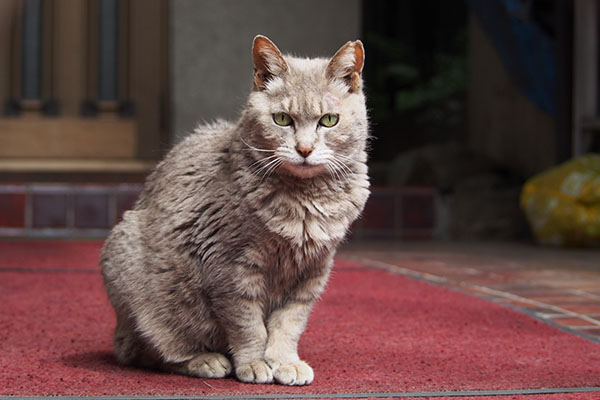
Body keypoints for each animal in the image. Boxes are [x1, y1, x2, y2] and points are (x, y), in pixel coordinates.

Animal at [99, 36, 370, 386]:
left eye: (329, 120)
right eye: (282, 119)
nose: (305, 149)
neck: (303, 200)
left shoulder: (312, 274)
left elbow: (289, 325)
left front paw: (285, 362)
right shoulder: (231, 269)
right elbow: (247, 325)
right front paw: (254, 363)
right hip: (137, 280)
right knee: (150, 352)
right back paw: (206, 360)